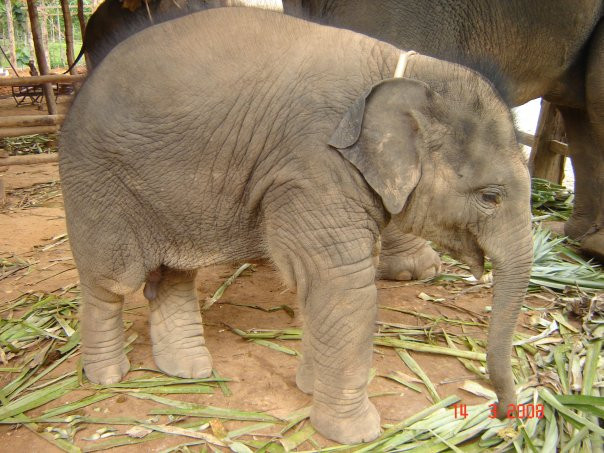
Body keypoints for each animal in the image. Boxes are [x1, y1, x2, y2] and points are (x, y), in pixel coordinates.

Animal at [60, 5, 532, 444]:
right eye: (490, 197)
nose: (508, 415)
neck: (413, 71)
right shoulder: (314, 165)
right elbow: (344, 285)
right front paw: (357, 434)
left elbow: (318, 284)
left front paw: (309, 388)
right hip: (97, 184)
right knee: (110, 283)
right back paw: (108, 376)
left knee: (174, 276)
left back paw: (188, 371)